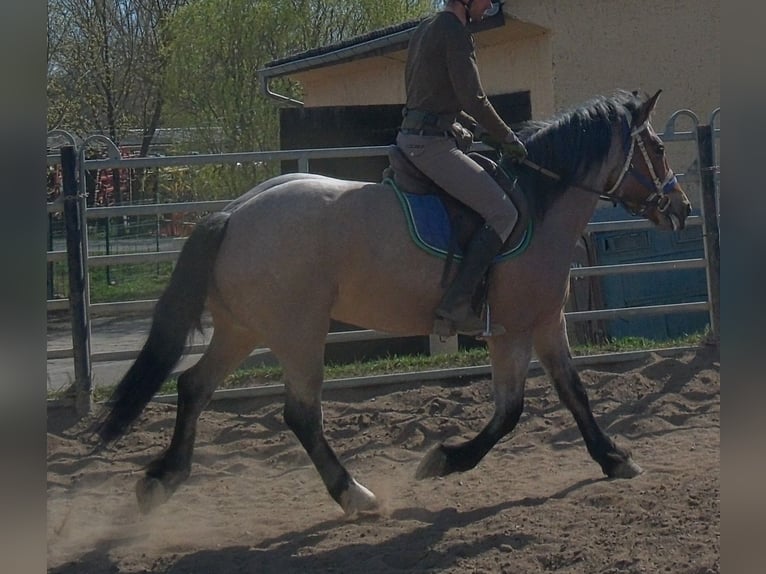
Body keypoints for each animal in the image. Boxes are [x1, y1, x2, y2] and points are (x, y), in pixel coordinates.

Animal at [95, 89, 691, 517]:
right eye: (659, 149)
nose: (682, 209)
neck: (539, 203)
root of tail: (234, 213)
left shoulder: (547, 322)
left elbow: (575, 393)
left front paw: (614, 459)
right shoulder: (513, 330)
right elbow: (510, 411)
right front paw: (445, 460)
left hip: (243, 329)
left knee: (193, 386)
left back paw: (162, 479)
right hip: (299, 334)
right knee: (300, 413)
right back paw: (354, 494)